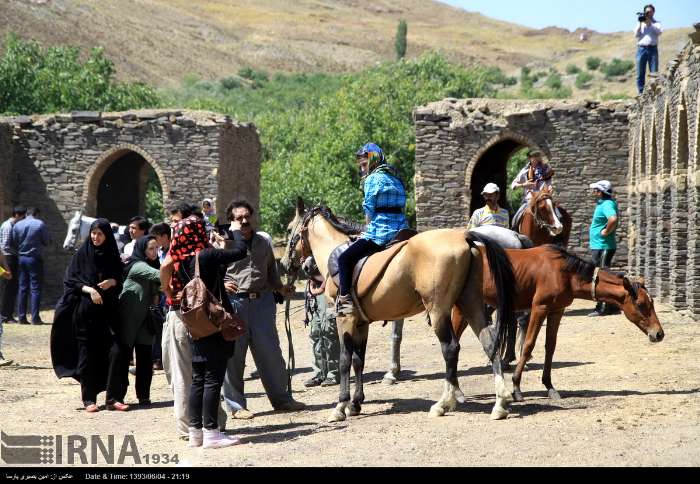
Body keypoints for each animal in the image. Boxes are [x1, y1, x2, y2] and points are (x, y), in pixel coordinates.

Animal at [280, 199, 520, 422]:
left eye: (290, 228)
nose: (286, 264)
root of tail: (465, 237)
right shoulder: (361, 323)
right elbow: (359, 361)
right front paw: (355, 403)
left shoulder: (344, 319)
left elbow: (345, 360)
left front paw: (341, 406)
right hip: (471, 305)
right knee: (489, 343)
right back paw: (500, 402)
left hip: (439, 311)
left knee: (451, 349)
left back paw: (443, 403)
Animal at [452, 246, 664, 400]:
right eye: (641, 304)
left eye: (652, 302)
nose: (659, 333)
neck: (565, 273)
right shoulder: (540, 308)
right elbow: (528, 345)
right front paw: (517, 387)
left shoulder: (556, 310)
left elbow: (550, 347)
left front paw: (549, 386)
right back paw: (458, 392)